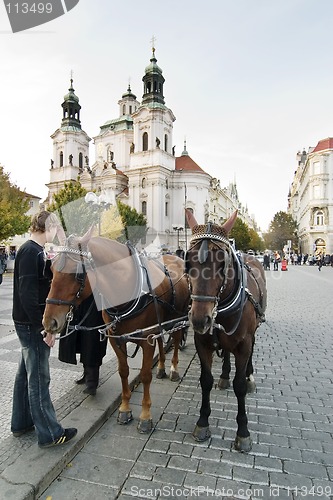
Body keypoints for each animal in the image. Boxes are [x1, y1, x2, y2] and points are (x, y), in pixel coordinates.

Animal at [42, 232, 189, 432]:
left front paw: (145, 416)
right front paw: (125, 409)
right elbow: (123, 371)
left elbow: (145, 375)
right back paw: (161, 368)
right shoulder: (116, 339)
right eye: (51, 270)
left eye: (78, 275)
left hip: (179, 318)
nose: (49, 321)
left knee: (176, 338)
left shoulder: (147, 338)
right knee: (162, 342)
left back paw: (173, 369)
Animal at [184, 209, 264, 452]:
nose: (200, 319)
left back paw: (249, 375)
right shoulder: (203, 343)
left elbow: (239, 386)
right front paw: (202, 423)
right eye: (188, 262)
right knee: (226, 353)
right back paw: (225, 375)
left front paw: (243, 432)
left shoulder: (244, 343)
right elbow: (206, 380)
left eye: (222, 263)